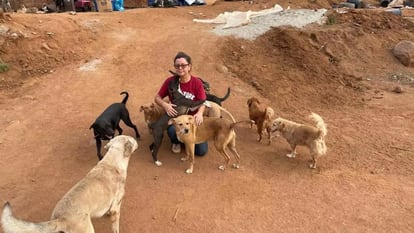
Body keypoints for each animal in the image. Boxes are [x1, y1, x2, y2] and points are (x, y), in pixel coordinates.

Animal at [0, 135, 139, 233]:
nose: (137, 140)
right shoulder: (116, 208)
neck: (112, 162)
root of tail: (60, 218)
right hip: (88, 230)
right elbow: (116, 227)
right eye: (132, 139)